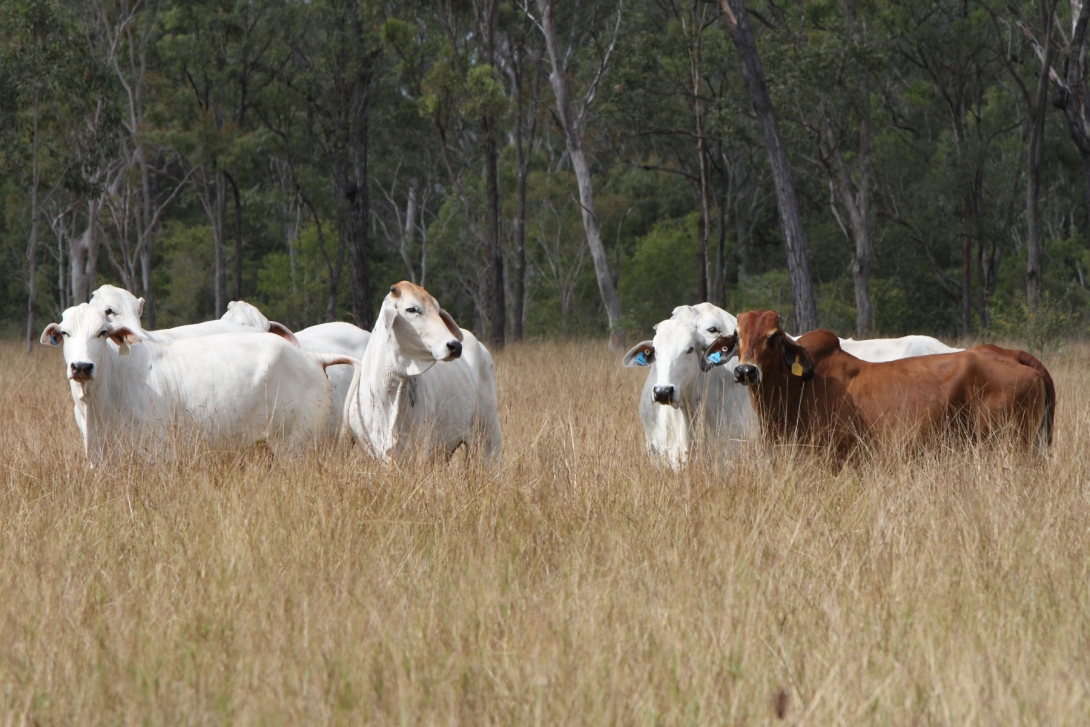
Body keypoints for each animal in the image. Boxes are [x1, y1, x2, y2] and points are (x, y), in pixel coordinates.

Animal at [39, 303, 348, 464]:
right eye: (65, 333)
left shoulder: (158, 453)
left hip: (296, 447)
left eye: (103, 332)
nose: (81, 366)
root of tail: (312, 357)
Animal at [342, 281, 499, 464]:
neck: (389, 393)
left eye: (437, 310)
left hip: (489, 438)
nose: (455, 346)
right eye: (411, 309)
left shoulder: (422, 449)